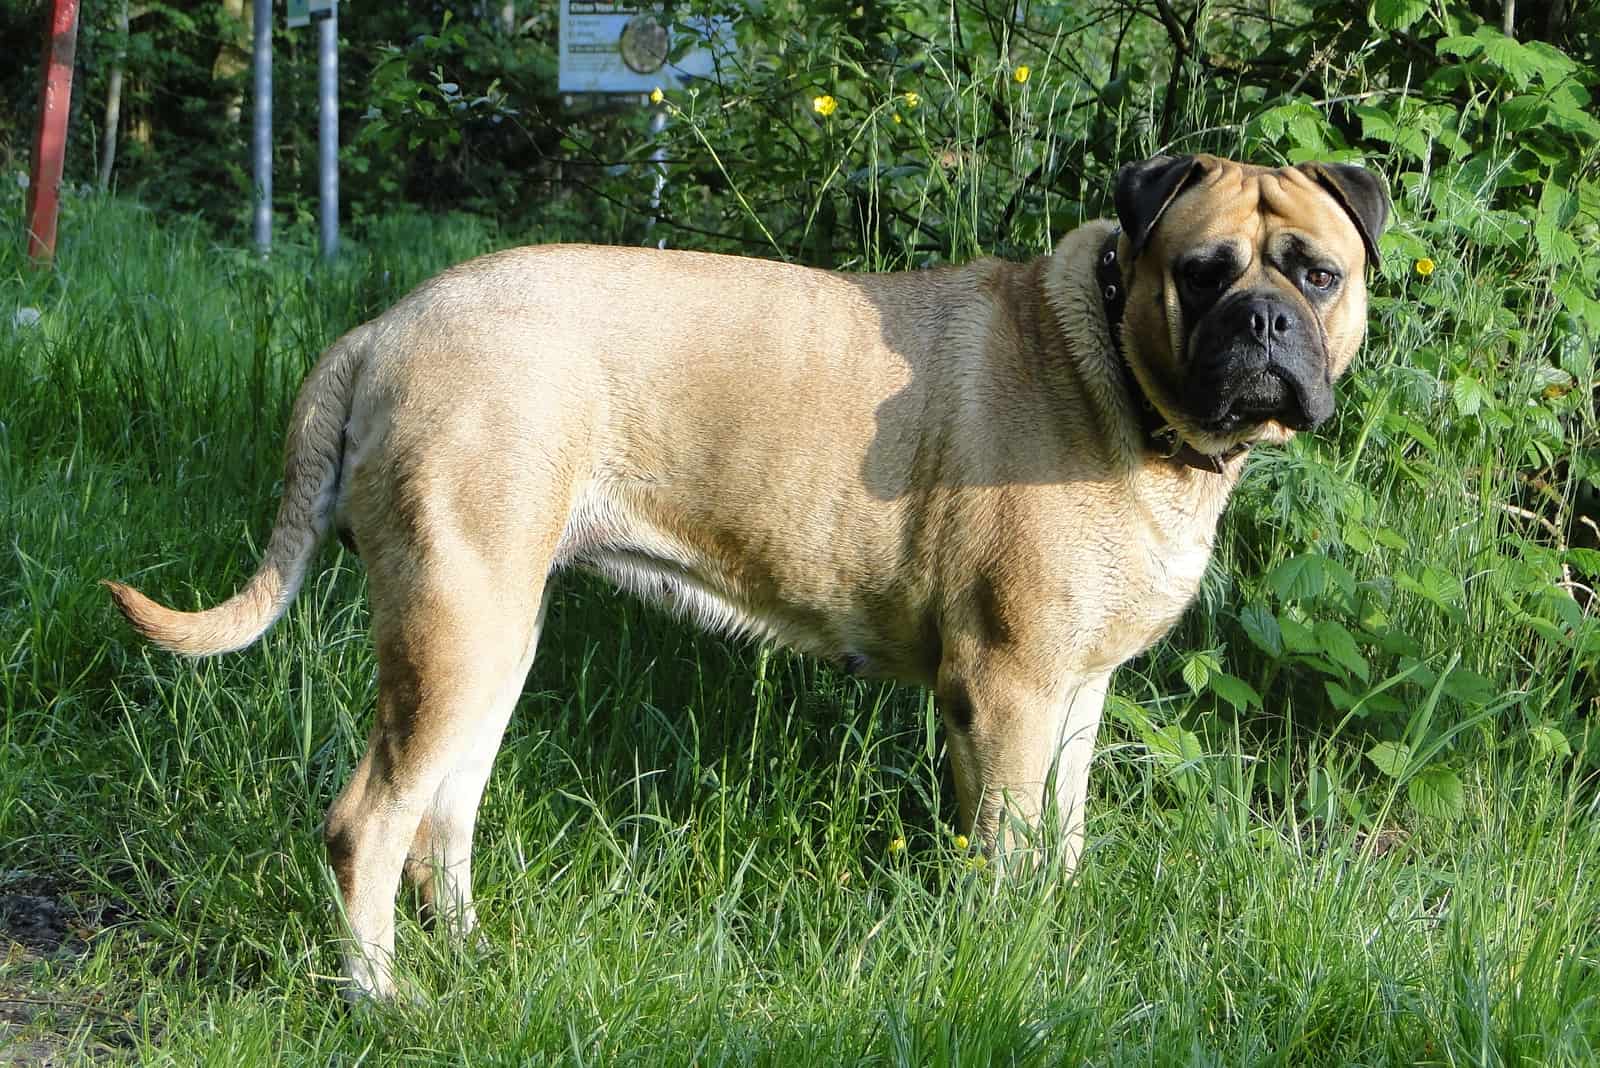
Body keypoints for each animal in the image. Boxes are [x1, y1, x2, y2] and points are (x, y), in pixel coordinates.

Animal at [106, 154, 1382, 997]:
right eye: (1203, 272)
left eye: (1316, 275)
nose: (1263, 321)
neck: (1118, 367)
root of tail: (383, 328)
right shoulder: (1005, 688)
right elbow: (1004, 853)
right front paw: (1006, 955)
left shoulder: (1074, 693)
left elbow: (1060, 843)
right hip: (453, 625)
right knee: (366, 822)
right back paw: (386, 999)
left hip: (488, 634)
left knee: (442, 815)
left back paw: (469, 962)